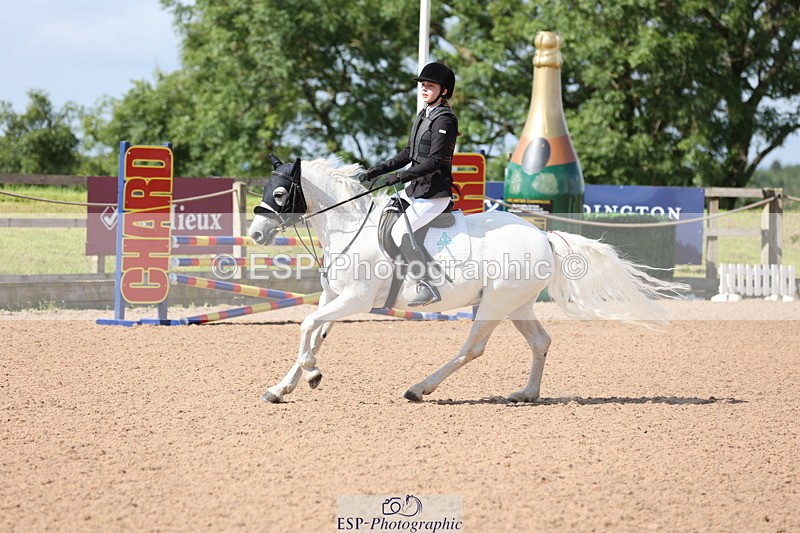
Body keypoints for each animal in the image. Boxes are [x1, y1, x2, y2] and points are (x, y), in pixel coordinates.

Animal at [247, 157, 686, 403]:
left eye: (281, 193)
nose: (255, 233)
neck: (348, 226)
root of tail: (542, 235)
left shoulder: (355, 299)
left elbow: (307, 326)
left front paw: (312, 374)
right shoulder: (333, 297)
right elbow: (313, 331)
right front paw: (283, 387)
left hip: (493, 304)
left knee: (472, 348)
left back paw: (420, 389)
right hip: (517, 305)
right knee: (540, 342)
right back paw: (527, 394)